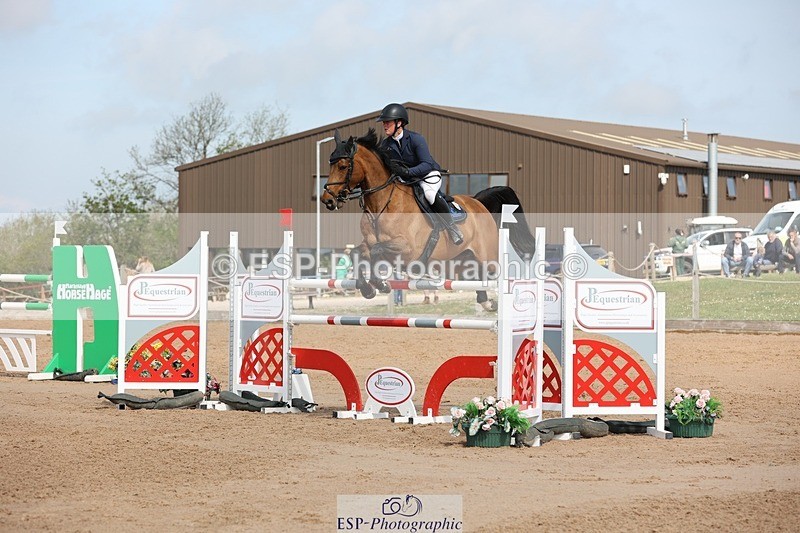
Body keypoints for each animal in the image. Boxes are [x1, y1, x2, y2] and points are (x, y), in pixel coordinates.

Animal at [321, 128, 535, 310]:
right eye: (330, 165)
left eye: (343, 166)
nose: (327, 200)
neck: (381, 205)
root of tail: (478, 202)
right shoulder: (370, 243)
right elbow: (356, 253)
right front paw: (368, 288)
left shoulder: (407, 249)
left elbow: (376, 251)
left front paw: (380, 285)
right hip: (463, 257)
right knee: (477, 276)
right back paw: (486, 302)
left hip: (488, 256)